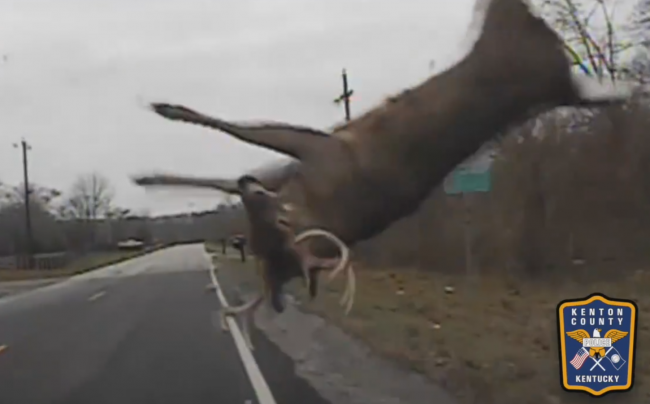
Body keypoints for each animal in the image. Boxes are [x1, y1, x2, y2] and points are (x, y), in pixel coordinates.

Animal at [134, 0, 640, 326]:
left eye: (276, 224)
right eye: (257, 235)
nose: (250, 187)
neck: (318, 203)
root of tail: (549, 62)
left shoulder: (315, 146)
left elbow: (236, 129)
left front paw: (168, 111)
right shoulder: (286, 169)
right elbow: (212, 178)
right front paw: (148, 175)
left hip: (520, 41)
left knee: (508, 10)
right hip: (551, 77)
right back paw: (621, 89)